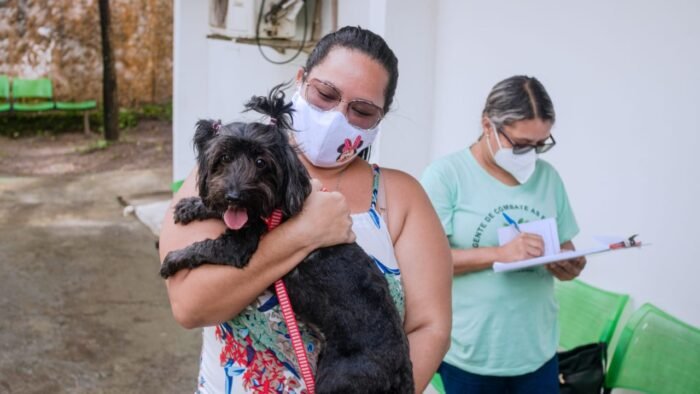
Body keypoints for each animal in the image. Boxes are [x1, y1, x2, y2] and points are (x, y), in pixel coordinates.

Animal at [160, 87, 410, 394]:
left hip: (338, 377)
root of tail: (399, 368)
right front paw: (192, 206)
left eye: (261, 162)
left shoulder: (238, 247)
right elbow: (220, 211)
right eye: (224, 158)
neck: (275, 208)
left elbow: (204, 246)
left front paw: (173, 259)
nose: (234, 195)